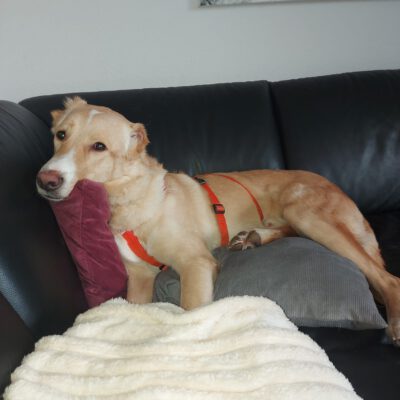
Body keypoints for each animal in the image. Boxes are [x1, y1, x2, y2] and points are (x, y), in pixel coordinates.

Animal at [36, 97, 400, 345]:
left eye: (99, 146)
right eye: (60, 135)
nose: (46, 180)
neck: (131, 199)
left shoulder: (195, 263)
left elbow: (192, 311)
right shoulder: (139, 279)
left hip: (307, 211)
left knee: (388, 278)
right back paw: (253, 236)